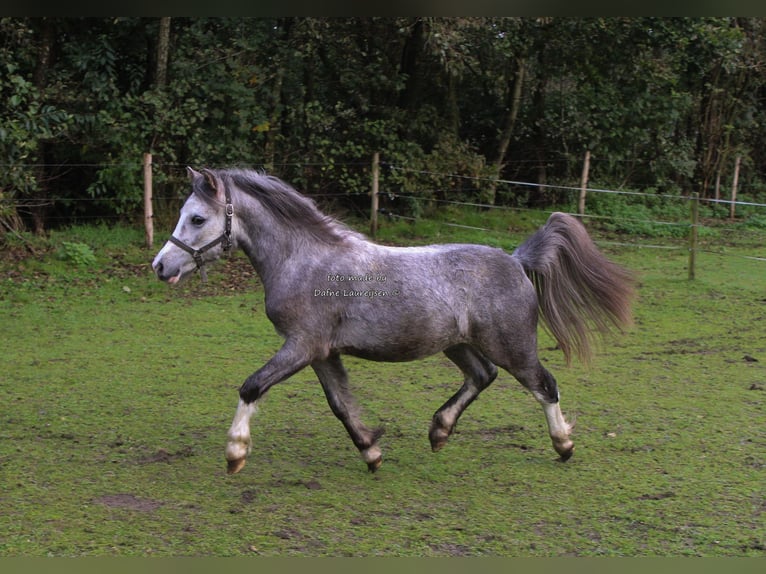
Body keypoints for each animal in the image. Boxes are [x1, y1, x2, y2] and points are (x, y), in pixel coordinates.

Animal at [152, 168, 636, 476]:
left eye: (197, 218)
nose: (160, 266)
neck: (303, 260)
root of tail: (516, 260)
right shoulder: (321, 353)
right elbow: (341, 406)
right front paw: (371, 452)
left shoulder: (302, 346)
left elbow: (252, 386)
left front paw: (235, 454)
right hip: (458, 344)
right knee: (483, 376)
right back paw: (439, 431)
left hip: (512, 345)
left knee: (544, 385)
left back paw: (563, 445)